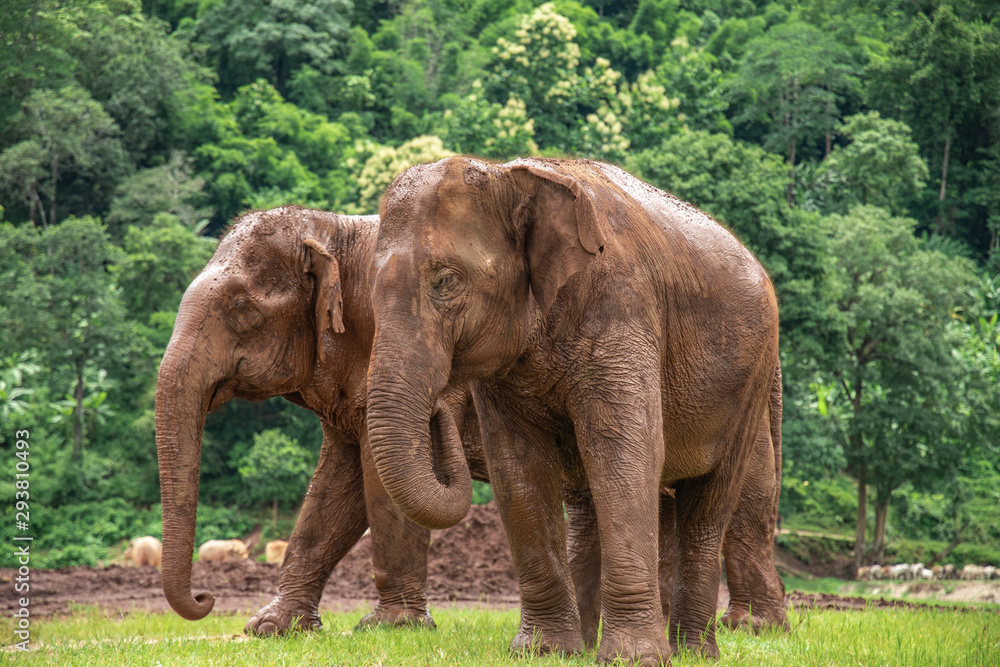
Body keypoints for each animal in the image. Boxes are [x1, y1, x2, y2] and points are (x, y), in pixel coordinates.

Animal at [366, 155, 780, 664]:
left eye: (446, 281)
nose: (439, 407)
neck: (510, 175)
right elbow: (518, 466)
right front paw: (543, 651)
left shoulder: (621, 306)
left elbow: (623, 452)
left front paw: (633, 659)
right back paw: (588, 645)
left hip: (752, 381)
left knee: (709, 504)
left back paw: (693, 653)